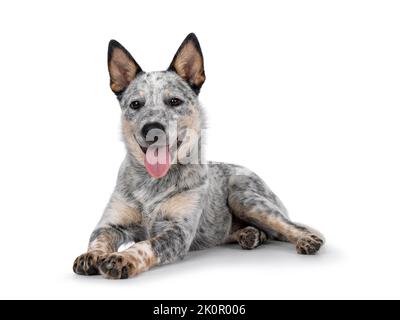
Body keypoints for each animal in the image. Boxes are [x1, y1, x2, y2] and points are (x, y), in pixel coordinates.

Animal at [73, 31, 324, 278]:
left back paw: (307, 239)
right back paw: (249, 234)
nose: (152, 129)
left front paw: (123, 258)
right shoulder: (110, 224)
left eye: (174, 101)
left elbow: (145, 245)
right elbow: (98, 238)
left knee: (289, 227)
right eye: (136, 104)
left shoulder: (178, 231)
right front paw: (91, 255)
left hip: (245, 198)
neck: (152, 184)